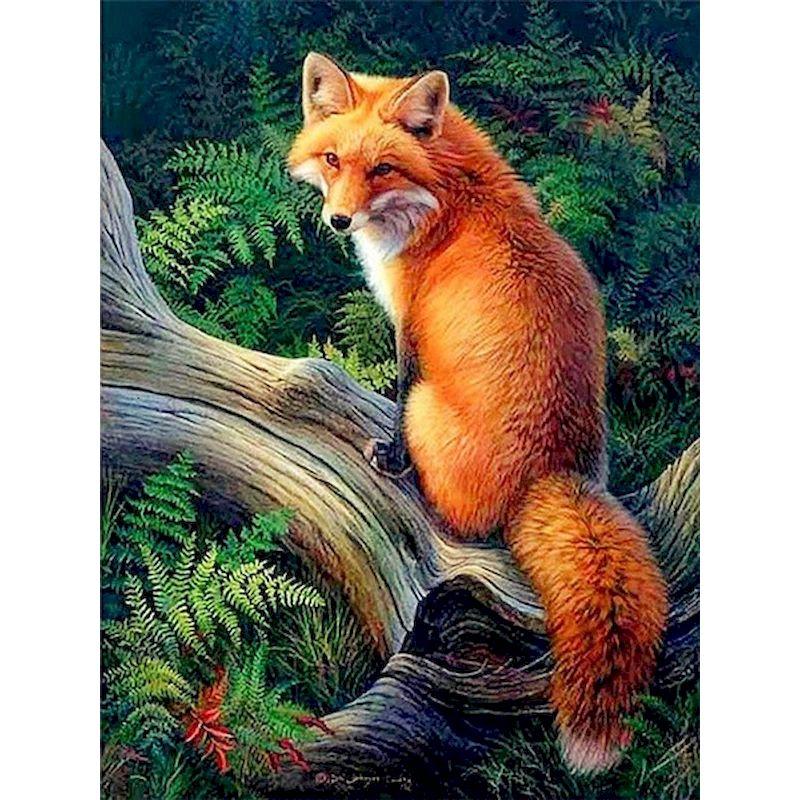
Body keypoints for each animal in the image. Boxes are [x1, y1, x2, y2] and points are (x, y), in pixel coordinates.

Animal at [288, 52, 668, 773]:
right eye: (332, 159)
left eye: (382, 168)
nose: (339, 221)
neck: (451, 195)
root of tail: (553, 473)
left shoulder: (410, 328)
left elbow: (397, 392)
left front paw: (390, 456)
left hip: (432, 412)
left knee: (455, 519)